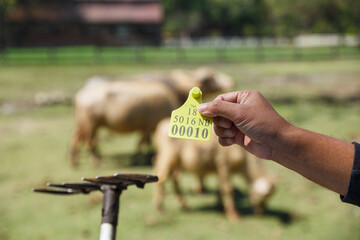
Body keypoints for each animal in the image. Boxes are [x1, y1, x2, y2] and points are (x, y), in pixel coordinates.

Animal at [70, 66, 235, 166]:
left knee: (78, 137)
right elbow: (142, 142)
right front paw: (137, 158)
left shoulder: (148, 127)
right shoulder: (148, 126)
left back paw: (74, 160)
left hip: (85, 124)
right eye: (211, 77)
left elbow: (145, 142)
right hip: (90, 125)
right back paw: (94, 160)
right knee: (89, 142)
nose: (231, 80)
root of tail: (80, 94)